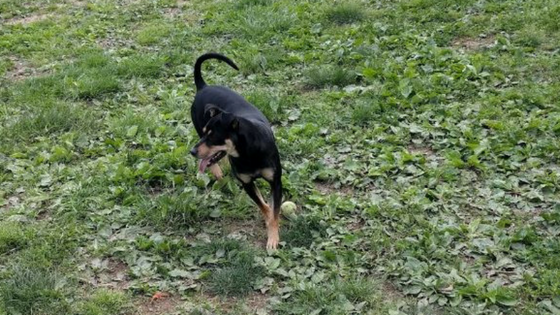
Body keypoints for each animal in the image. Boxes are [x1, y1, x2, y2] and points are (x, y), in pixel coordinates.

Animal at [189, 53, 284, 251]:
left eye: (213, 137)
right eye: (205, 133)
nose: (192, 151)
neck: (248, 153)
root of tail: (203, 86)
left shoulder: (275, 181)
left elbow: (274, 211)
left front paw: (273, 237)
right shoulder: (247, 184)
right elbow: (264, 206)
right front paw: (269, 222)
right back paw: (217, 171)